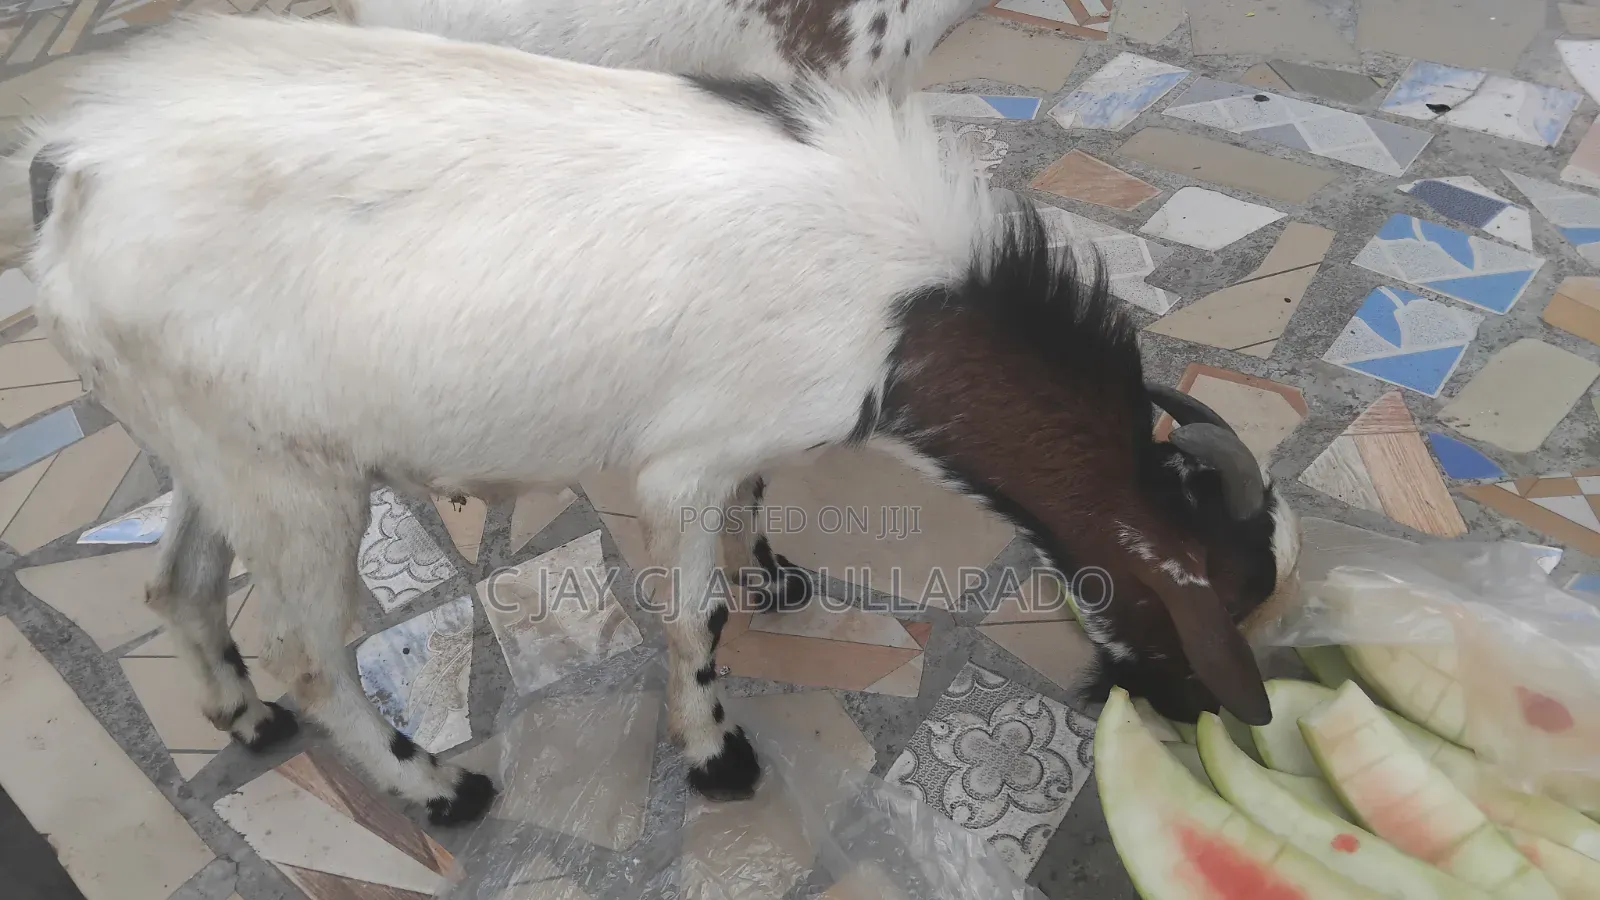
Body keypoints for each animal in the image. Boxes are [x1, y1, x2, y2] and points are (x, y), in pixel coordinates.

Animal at [23, 14, 1299, 824]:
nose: (1195, 715)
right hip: (294, 483)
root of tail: (76, 175)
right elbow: (697, 616)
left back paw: (241, 720)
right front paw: (716, 755)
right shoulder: (682, 462)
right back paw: (436, 788)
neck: (900, 301)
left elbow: (753, 509)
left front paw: (774, 572)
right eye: (1220, 607)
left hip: (212, 441)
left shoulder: (745, 433)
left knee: (176, 582)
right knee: (306, 649)